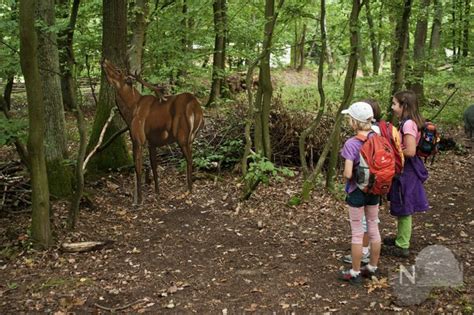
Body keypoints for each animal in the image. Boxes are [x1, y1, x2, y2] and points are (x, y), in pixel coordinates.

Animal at [102, 59, 202, 206]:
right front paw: (157, 192)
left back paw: (188, 190)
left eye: (118, 70)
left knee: (189, 159)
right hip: (192, 136)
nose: (105, 60)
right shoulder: (152, 143)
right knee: (191, 157)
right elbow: (154, 166)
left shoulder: (138, 138)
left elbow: (138, 168)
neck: (131, 112)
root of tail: (195, 107)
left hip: (182, 135)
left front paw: (139, 200)